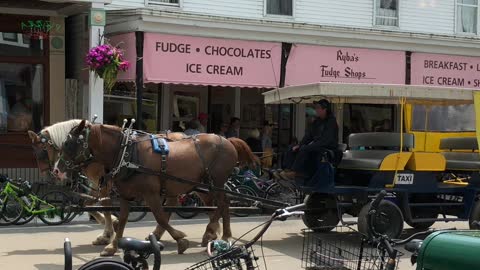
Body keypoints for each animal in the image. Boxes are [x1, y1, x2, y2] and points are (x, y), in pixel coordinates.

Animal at [52, 121, 258, 256]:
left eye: (69, 143)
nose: (57, 170)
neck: (127, 153)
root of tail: (228, 140)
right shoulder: (125, 195)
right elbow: (123, 218)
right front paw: (113, 245)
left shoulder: (150, 193)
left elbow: (159, 215)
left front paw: (180, 239)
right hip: (203, 184)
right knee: (218, 205)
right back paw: (214, 234)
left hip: (217, 182)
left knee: (223, 203)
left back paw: (219, 234)